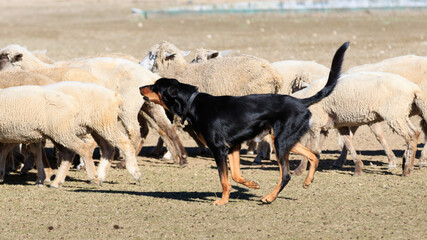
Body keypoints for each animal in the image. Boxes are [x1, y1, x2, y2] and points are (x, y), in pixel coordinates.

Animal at [142, 42, 350, 205]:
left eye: (155, 86)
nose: (140, 87)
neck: (193, 102)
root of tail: (300, 101)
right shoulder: (233, 146)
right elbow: (235, 175)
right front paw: (251, 184)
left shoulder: (219, 149)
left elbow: (224, 179)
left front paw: (222, 201)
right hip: (285, 140)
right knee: (314, 155)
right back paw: (307, 181)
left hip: (280, 142)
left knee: (286, 174)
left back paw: (270, 197)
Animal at [290, 71, 424, 176]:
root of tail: (413, 88)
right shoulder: (335, 124)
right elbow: (347, 143)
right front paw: (358, 168)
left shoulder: (315, 124)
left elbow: (309, 147)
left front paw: (299, 170)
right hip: (401, 114)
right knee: (415, 132)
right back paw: (409, 166)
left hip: (393, 114)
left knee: (409, 136)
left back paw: (407, 169)